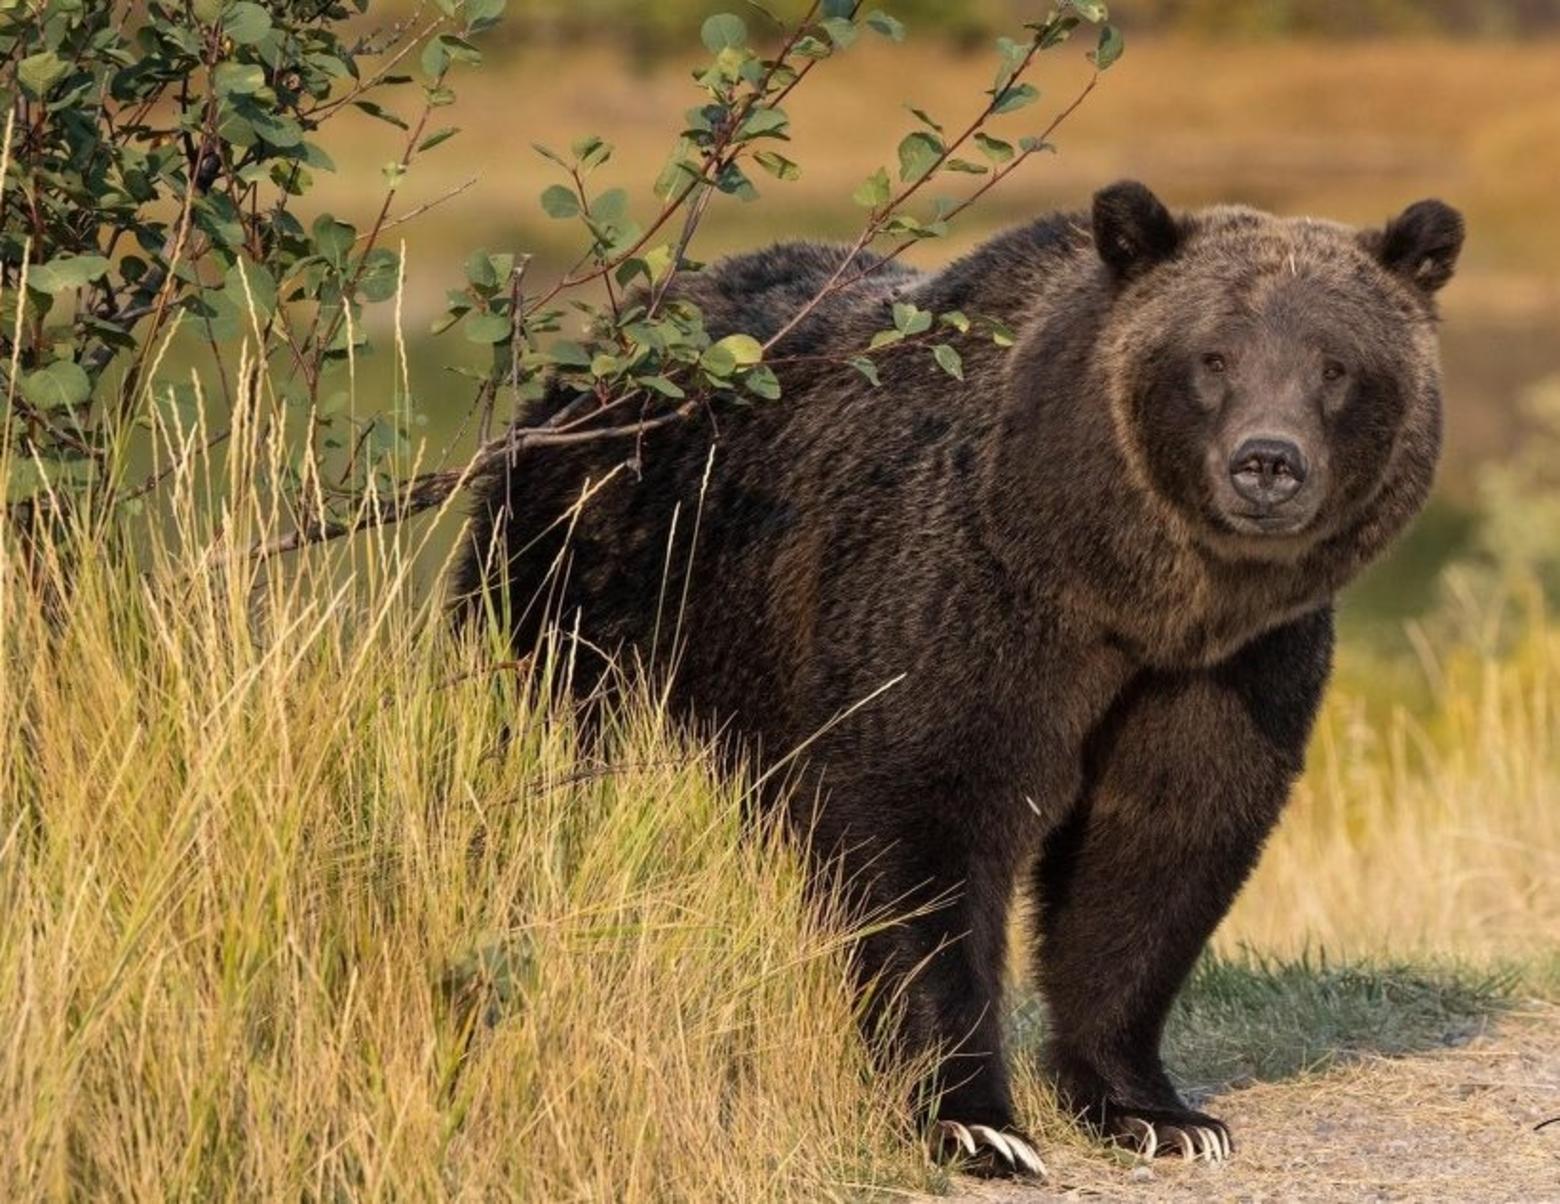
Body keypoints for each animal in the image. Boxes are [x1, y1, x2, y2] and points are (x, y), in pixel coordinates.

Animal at [452, 180, 1460, 1172]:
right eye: (1213, 357)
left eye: (1335, 366)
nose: (1267, 463)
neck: (1127, 589)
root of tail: (595, 354)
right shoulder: (963, 596)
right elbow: (921, 822)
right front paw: (975, 1122)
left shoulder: (1233, 667)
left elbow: (1158, 846)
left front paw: (1157, 1111)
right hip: (589, 582)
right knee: (544, 758)